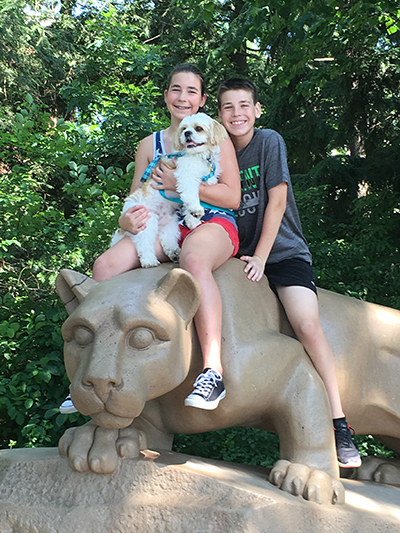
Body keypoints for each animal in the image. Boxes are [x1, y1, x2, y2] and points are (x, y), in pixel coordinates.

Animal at [109, 114, 228, 268]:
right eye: (184, 129)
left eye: (198, 128)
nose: (187, 133)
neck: (199, 156)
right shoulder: (186, 176)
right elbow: (191, 196)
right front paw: (196, 211)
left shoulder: (206, 182)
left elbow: (192, 200)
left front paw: (192, 220)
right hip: (145, 221)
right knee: (144, 243)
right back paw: (149, 260)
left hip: (170, 225)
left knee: (167, 239)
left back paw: (174, 252)